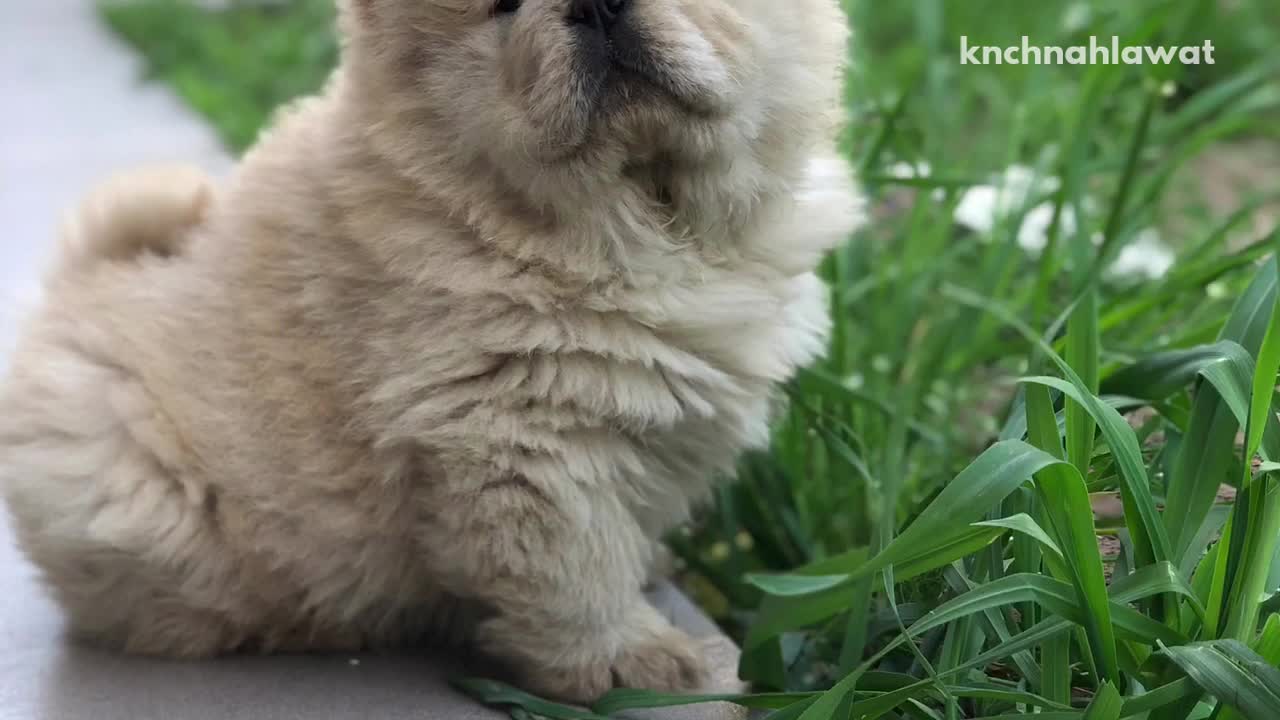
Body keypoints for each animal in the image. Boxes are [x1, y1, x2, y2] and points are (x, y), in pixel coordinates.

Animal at [2, 0, 860, 702]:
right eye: (505, 3)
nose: (593, 0)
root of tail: (74, 293)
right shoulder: (518, 433)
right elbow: (575, 561)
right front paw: (622, 663)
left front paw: (644, 586)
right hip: (140, 489)